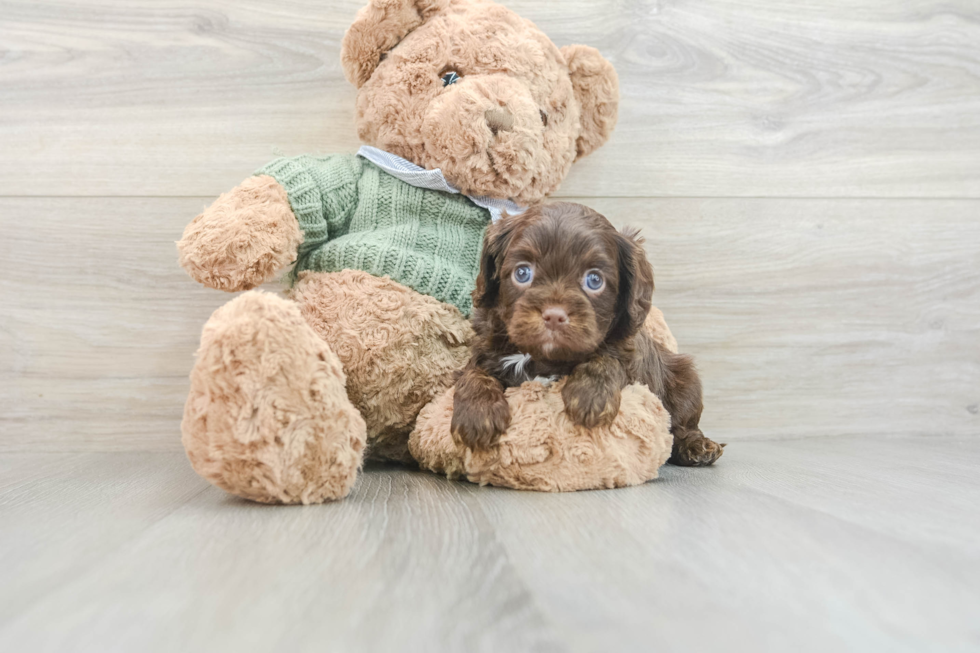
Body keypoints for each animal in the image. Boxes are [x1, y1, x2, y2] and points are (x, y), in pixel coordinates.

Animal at [456, 201, 724, 466]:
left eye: (594, 280)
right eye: (522, 273)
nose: (554, 316)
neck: (545, 357)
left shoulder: (627, 356)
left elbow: (607, 359)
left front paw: (591, 397)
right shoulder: (485, 349)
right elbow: (473, 373)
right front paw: (478, 415)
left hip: (685, 381)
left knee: (682, 425)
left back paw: (698, 447)